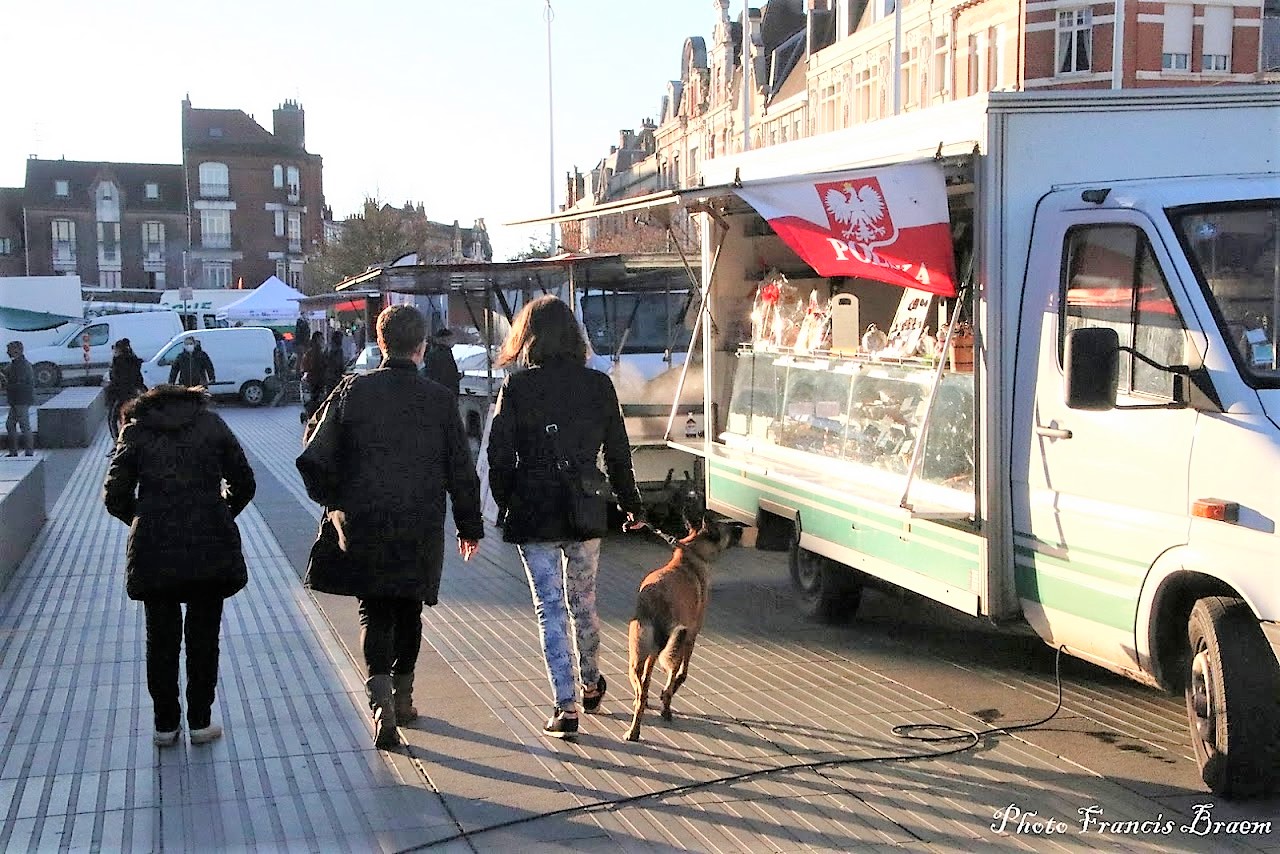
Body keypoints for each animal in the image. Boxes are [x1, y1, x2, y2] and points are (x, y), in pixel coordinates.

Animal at [624, 517, 737, 742]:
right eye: (726, 529)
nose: (739, 529)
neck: (691, 554)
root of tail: (653, 603)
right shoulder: (692, 635)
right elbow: (682, 675)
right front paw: (666, 696)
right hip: (675, 644)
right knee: (665, 681)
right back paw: (660, 713)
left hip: (637, 657)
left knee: (641, 688)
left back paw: (635, 727)